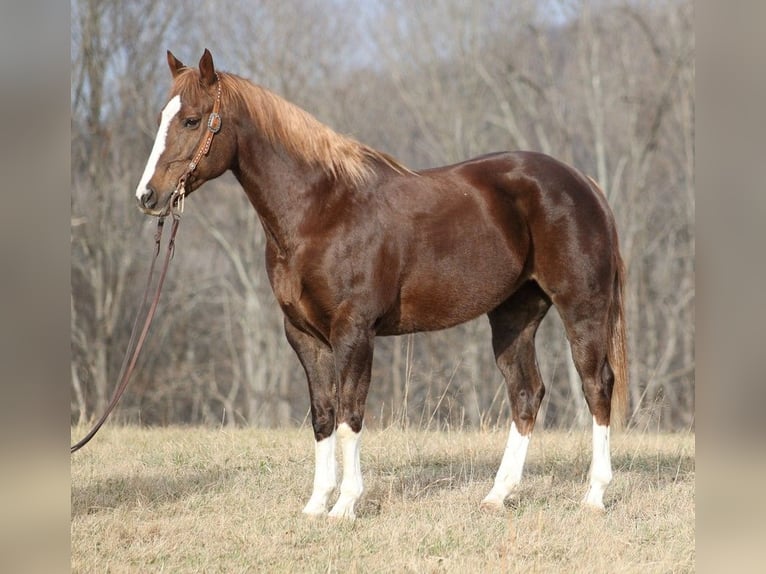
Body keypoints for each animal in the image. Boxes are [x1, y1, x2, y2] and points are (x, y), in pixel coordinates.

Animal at [136, 48, 632, 516]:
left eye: (191, 119)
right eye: (161, 116)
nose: (147, 196)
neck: (320, 211)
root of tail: (583, 182)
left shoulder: (354, 332)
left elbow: (350, 417)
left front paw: (345, 505)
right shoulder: (304, 336)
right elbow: (323, 417)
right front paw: (316, 504)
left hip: (582, 308)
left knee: (596, 385)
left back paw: (594, 496)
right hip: (514, 316)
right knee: (526, 393)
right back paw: (497, 495)